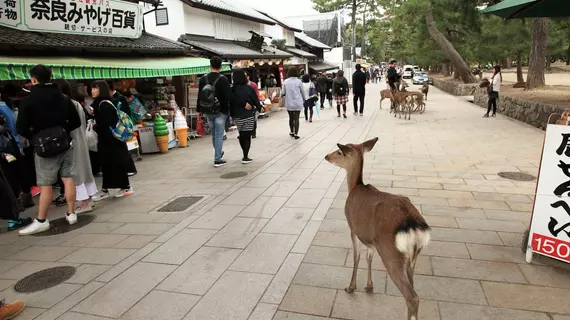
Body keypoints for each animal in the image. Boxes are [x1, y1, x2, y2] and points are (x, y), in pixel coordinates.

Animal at [322, 138, 428, 320]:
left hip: (390, 253)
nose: (326, 156)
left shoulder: (353, 227)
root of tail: (414, 226)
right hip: (412, 258)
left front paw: (351, 287)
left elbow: (356, 257)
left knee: (412, 297)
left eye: (340, 152)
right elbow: (368, 258)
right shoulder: (371, 240)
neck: (355, 186)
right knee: (414, 291)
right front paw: (369, 286)